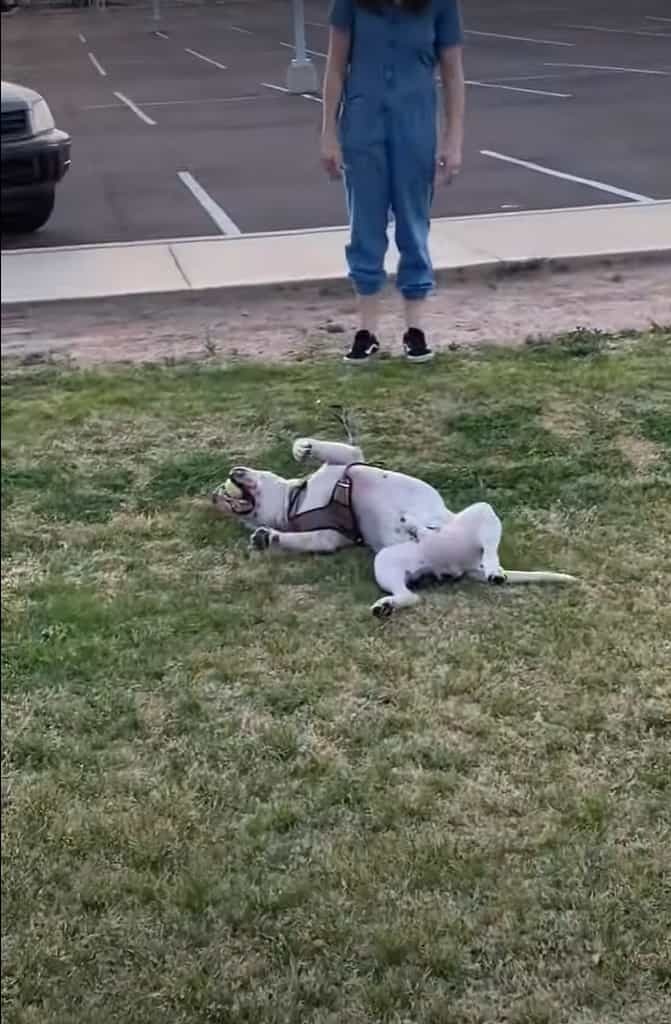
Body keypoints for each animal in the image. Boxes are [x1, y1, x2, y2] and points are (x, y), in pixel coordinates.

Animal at [214, 434, 577, 614]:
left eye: (223, 485)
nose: (216, 495)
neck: (296, 501)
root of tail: (463, 565)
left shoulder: (348, 459)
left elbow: (329, 448)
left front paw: (303, 447)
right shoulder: (328, 537)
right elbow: (298, 539)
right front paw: (266, 538)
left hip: (481, 512)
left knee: (491, 550)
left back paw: (490, 568)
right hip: (387, 561)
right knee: (412, 596)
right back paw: (390, 599)